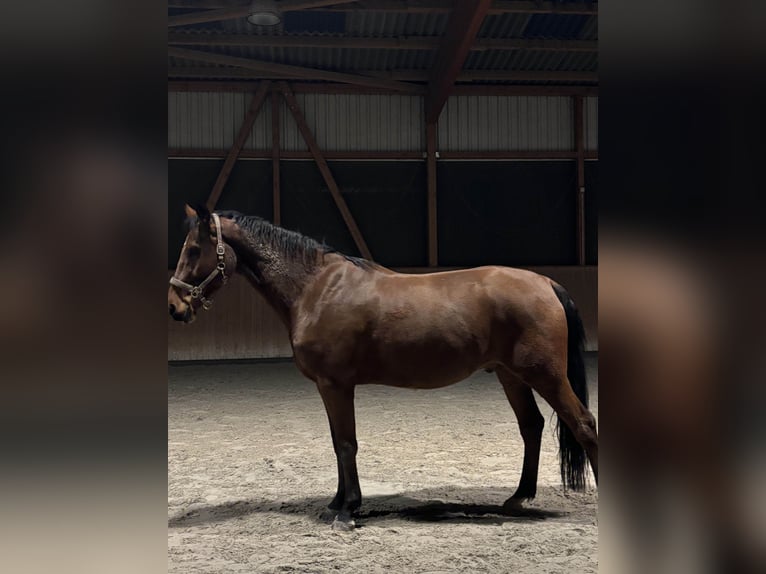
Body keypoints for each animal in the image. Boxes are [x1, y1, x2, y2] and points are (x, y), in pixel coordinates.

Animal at [168, 204, 598, 530]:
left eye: (194, 249)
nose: (175, 307)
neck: (317, 288)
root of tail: (545, 283)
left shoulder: (336, 384)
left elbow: (346, 444)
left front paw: (347, 511)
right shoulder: (329, 386)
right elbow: (337, 443)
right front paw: (338, 502)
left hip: (546, 375)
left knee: (583, 424)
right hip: (511, 376)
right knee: (532, 427)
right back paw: (518, 497)